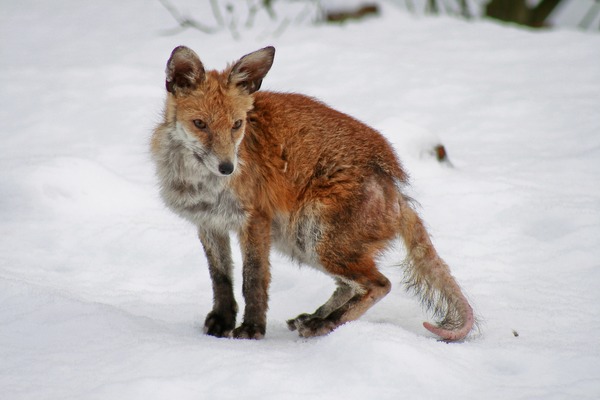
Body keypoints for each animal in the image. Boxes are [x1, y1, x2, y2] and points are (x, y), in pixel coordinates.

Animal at [152, 46, 476, 340]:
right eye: (200, 124)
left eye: (237, 125)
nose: (227, 168)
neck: (200, 184)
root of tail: (395, 189)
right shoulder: (209, 224)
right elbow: (220, 278)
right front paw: (221, 322)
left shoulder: (254, 220)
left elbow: (253, 279)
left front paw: (252, 329)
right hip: (300, 242)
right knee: (348, 285)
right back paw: (317, 317)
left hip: (317, 239)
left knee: (379, 284)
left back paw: (326, 324)